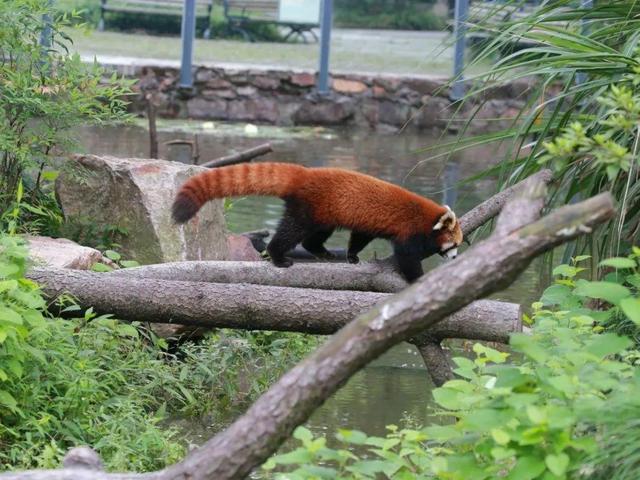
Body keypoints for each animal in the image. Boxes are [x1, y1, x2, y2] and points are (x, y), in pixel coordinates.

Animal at [174, 162, 464, 282]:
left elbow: (360, 237)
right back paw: (279, 257)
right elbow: (407, 257)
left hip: (324, 214)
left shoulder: (367, 224)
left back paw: (323, 252)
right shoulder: (409, 231)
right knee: (291, 232)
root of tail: (304, 174)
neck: (427, 217)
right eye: (454, 245)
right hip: (307, 210)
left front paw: (352, 255)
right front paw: (418, 279)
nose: (455, 258)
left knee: (314, 236)